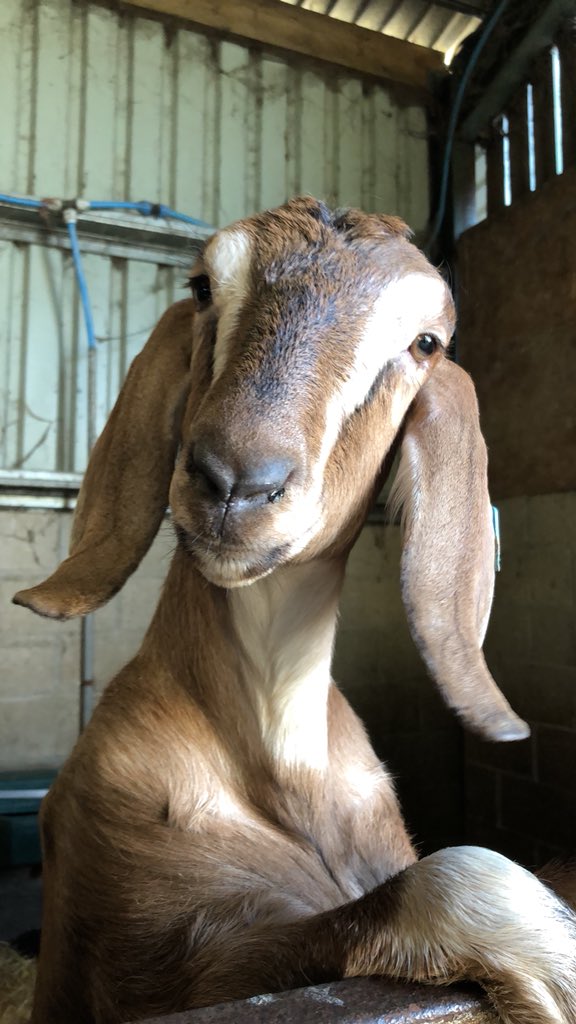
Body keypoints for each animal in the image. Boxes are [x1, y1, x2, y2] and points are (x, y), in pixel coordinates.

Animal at [13, 198, 576, 1024]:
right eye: (202, 286)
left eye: (426, 343)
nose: (236, 480)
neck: (282, 758)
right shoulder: (143, 964)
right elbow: (465, 869)